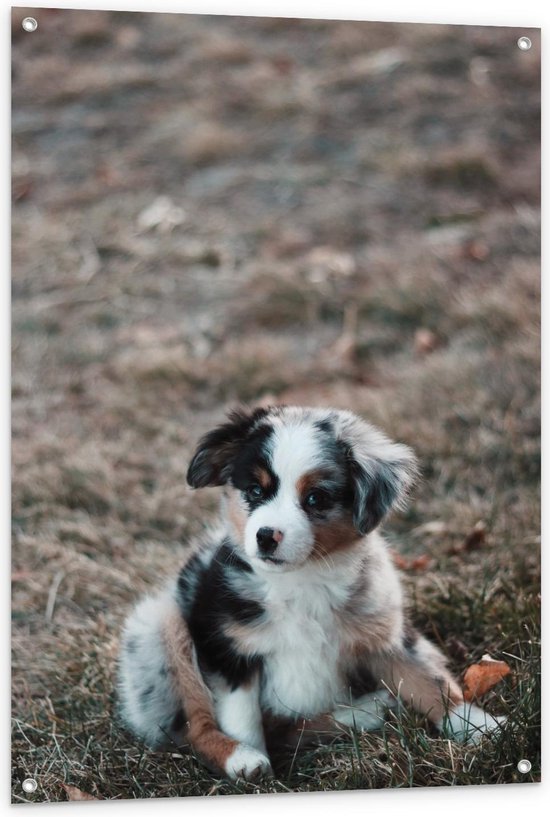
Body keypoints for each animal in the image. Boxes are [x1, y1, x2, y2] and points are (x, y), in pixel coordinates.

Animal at [118, 404, 506, 780]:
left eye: (315, 498)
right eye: (255, 491)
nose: (265, 536)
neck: (303, 579)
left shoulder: (387, 634)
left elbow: (429, 682)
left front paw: (479, 726)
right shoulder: (228, 648)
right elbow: (242, 718)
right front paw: (253, 765)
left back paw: (366, 711)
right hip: (161, 626)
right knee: (197, 726)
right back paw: (243, 756)